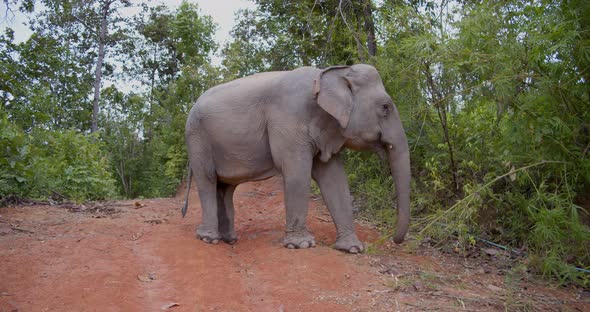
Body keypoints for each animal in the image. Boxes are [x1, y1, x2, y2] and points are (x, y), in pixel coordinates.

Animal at [184, 64, 412, 254]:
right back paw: (209, 239)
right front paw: (301, 245)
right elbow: (297, 172)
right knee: (207, 180)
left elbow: (334, 179)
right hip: (197, 139)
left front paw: (353, 248)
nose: (394, 240)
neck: (330, 73)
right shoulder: (288, 121)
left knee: (225, 187)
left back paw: (229, 239)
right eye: (385, 107)